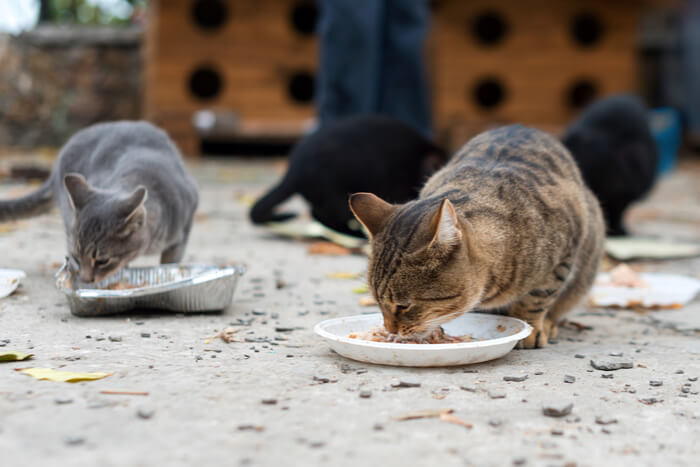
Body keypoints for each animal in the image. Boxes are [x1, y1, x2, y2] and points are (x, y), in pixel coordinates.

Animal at [352, 126, 604, 350]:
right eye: (377, 302)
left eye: (403, 306)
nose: (389, 330)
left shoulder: (564, 254)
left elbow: (537, 298)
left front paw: (530, 328)